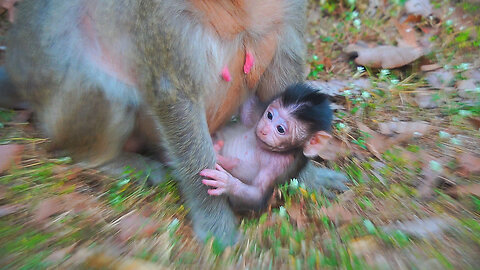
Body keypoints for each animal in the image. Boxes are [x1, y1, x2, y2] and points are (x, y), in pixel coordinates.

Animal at [201, 83, 332, 210]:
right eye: (269, 115)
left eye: (280, 129)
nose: (264, 130)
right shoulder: (257, 116)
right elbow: (248, 104)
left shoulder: (279, 164)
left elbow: (258, 197)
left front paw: (227, 182)